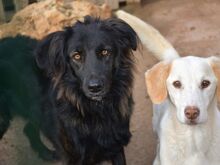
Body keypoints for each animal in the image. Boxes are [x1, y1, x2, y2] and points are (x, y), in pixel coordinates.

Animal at [35, 15, 138, 165]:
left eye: (105, 52)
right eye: (76, 56)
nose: (95, 88)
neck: (97, 110)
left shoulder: (117, 147)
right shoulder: (74, 158)